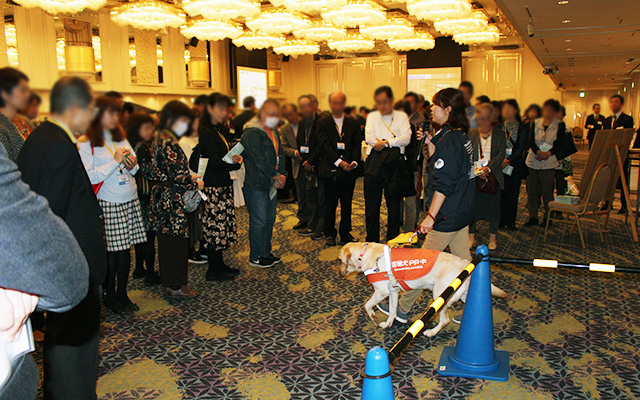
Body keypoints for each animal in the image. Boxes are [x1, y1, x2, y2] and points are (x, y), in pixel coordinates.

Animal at [338, 242, 508, 336]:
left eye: (340, 260)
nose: (338, 273)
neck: (364, 254)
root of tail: (465, 263)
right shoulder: (393, 292)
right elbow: (392, 311)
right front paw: (388, 324)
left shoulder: (381, 292)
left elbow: (366, 305)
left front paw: (373, 316)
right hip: (464, 294)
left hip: (440, 296)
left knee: (445, 320)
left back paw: (431, 332)